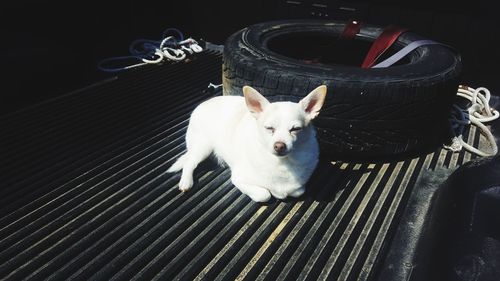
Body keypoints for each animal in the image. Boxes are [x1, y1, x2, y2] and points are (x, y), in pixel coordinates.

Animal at [166, 84, 326, 200]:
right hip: (203, 148)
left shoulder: (299, 188)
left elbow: (297, 191)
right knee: (189, 162)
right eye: (269, 128)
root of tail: (202, 104)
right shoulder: (238, 179)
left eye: (295, 129)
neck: (282, 164)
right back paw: (186, 182)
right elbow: (264, 194)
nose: (279, 146)